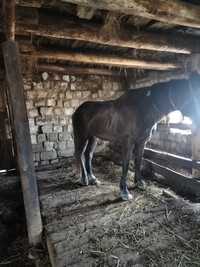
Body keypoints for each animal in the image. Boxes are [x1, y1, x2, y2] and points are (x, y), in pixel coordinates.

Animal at [72, 73, 200, 201]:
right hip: (81, 136)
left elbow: (138, 160)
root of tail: (78, 110)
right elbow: (126, 164)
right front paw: (124, 191)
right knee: (80, 154)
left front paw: (139, 183)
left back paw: (93, 179)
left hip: (93, 137)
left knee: (88, 154)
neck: (143, 108)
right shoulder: (128, 142)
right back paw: (84, 179)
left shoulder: (142, 141)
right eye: (194, 94)